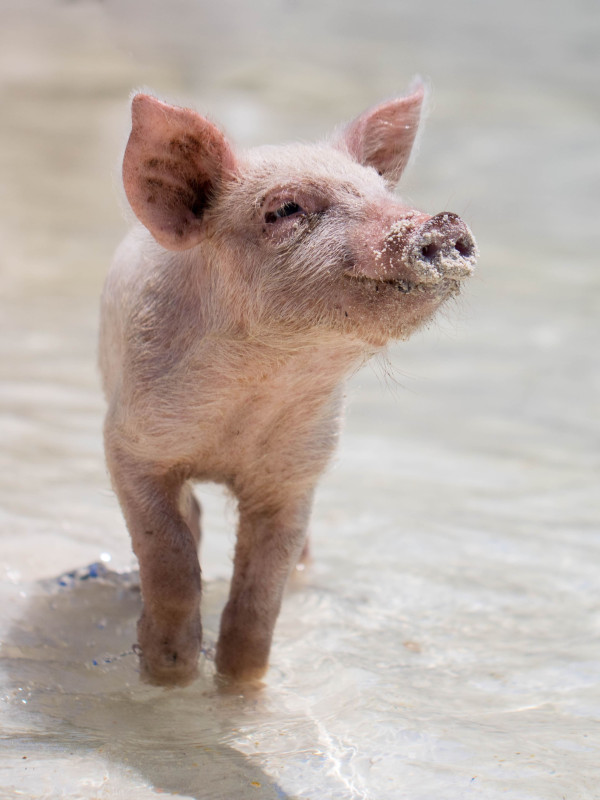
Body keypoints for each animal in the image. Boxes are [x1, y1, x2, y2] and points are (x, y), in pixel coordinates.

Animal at [99, 84, 477, 686]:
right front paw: (169, 672)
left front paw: (239, 685)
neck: (255, 394)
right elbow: (170, 555)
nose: (441, 222)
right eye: (284, 210)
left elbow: (260, 596)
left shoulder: (297, 474)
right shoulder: (129, 444)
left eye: (382, 191)